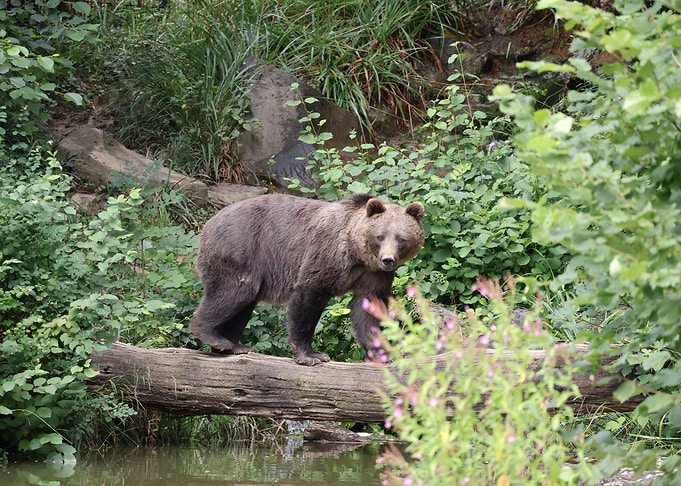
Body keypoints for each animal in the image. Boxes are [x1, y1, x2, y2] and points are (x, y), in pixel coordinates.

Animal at [189, 193, 425, 366]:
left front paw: (382, 352)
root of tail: (209, 223)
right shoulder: (325, 254)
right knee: (233, 292)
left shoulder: (372, 274)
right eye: (380, 236)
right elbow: (309, 296)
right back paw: (214, 337)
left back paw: (235, 345)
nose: (388, 259)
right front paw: (311, 355)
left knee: (244, 303)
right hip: (240, 249)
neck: (357, 254)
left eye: (401, 239)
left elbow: (368, 307)